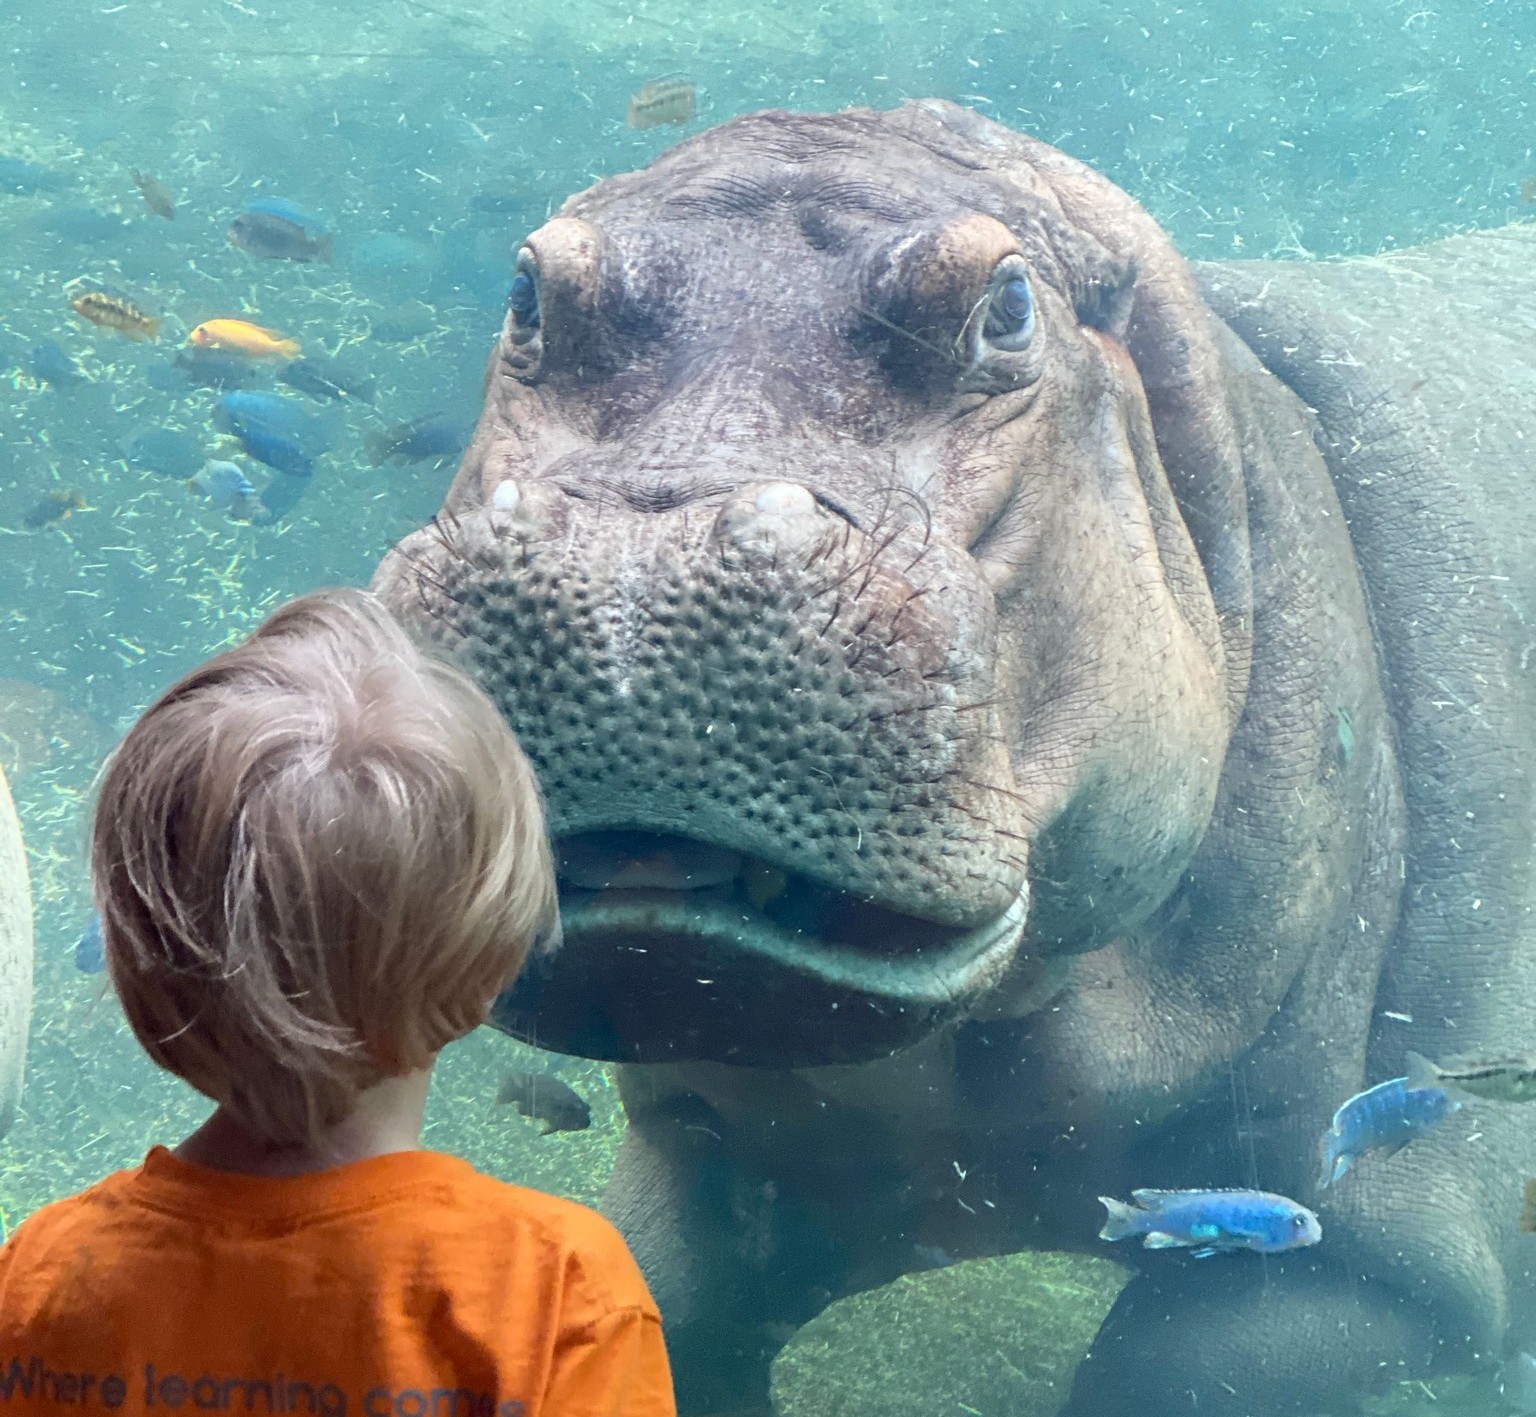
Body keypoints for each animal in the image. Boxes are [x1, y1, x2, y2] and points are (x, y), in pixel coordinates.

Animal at [372, 100, 1536, 1415]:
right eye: (526, 292)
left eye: (1009, 305)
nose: (642, 555)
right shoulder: (701, 1160)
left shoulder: (1390, 1254)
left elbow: (1151, 1371)